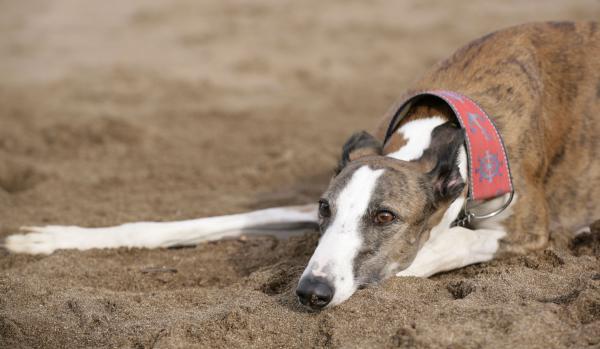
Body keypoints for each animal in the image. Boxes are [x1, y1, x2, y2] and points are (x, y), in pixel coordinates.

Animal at [5, 21, 600, 310]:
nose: (311, 293)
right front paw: (49, 239)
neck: (452, 126)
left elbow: (421, 254)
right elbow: (201, 221)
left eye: (385, 217)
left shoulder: (525, 230)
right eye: (324, 209)